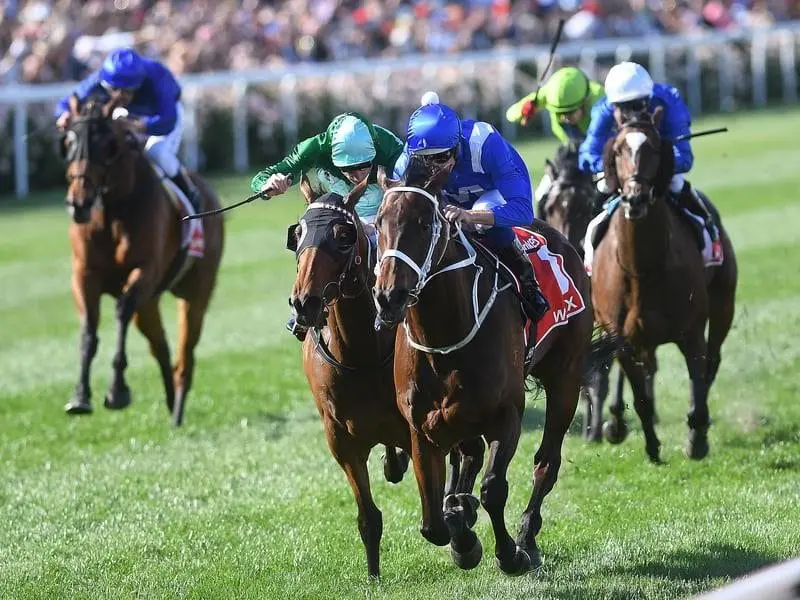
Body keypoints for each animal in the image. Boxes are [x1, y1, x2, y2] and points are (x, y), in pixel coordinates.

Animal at [60, 95, 223, 426]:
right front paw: (80, 396)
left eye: (106, 144)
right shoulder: (84, 275)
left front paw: (117, 391)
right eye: (69, 141)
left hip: (196, 292)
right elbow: (89, 328)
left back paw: (178, 408)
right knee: (160, 346)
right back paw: (171, 400)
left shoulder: (144, 271)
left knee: (185, 352)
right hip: (148, 304)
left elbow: (121, 311)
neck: (113, 209)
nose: (79, 202)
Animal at [288, 172, 412, 576]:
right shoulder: (340, 438)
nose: (304, 302)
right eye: (298, 233)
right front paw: (373, 575)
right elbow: (368, 516)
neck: (359, 353)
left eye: (343, 235)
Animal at [374, 158, 592, 572]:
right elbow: (432, 522)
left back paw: (527, 536)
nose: (388, 296)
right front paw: (462, 532)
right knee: (469, 456)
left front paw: (508, 553)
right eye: (379, 223)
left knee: (546, 463)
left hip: (566, 378)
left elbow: (494, 488)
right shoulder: (421, 427)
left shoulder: (506, 416)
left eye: (424, 224)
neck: (443, 341)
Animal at [588, 108, 736, 462]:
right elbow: (640, 395)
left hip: (724, 305)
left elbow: (698, 379)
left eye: (654, 148)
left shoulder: (691, 330)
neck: (642, 269)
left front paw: (696, 439)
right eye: (618, 150)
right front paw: (652, 447)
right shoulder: (622, 339)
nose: (635, 198)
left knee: (712, 360)